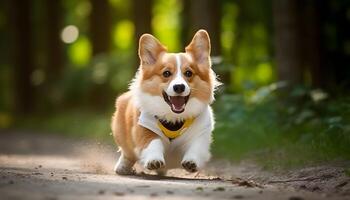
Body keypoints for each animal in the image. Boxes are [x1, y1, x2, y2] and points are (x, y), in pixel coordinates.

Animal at [110, 29, 219, 175]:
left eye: (188, 73)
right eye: (166, 73)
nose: (179, 87)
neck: (174, 119)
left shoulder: (201, 134)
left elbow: (196, 148)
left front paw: (191, 162)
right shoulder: (145, 129)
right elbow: (153, 143)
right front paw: (154, 160)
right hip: (120, 131)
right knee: (127, 153)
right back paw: (122, 167)